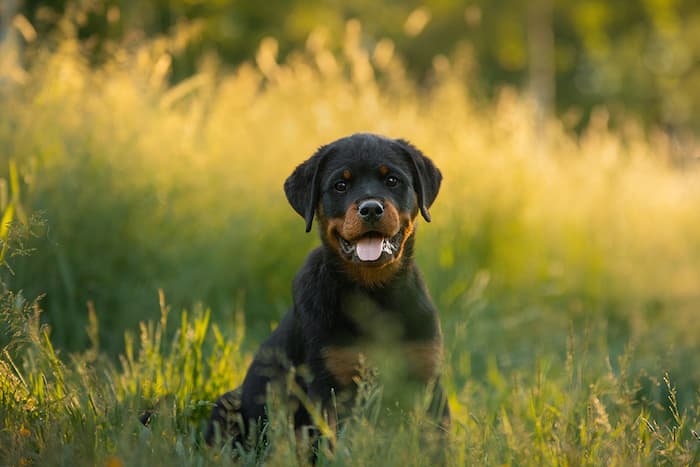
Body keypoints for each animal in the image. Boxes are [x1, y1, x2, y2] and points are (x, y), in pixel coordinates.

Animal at [206, 133, 448, 454]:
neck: (374, 295)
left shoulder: (428, 377)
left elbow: (438, 443)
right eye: (340, 185)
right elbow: (334, 445)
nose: (371, 209)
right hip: (228, 405)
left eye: (392, 180)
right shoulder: (328, 385)